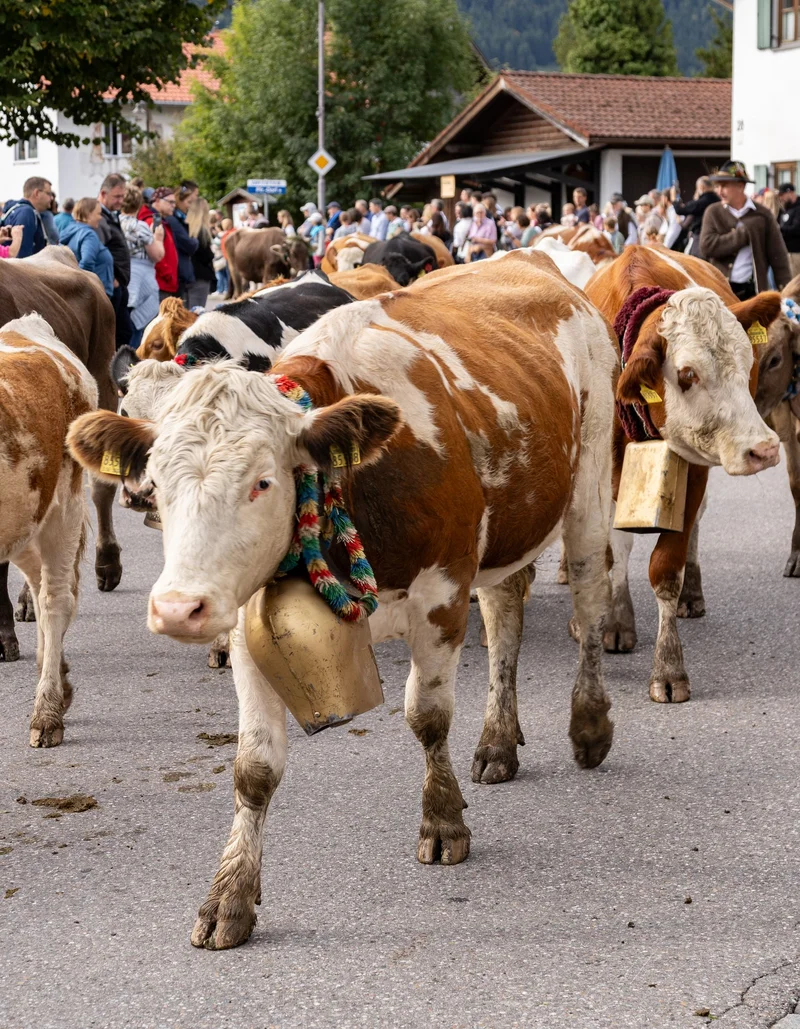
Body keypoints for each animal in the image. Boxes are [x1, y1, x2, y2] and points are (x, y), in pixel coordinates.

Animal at [68, 250, 619, 951]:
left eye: (263, 482)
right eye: (160, 479)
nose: (177, 609)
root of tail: (528, 259)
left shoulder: (442, 595)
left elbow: (427, 717)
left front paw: (443, 822)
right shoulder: (247, 621)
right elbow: (253, 767)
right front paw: (230, 896)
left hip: (590, 491)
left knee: (590, 603)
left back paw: (589, 725)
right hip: (509, 530)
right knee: (505, 615)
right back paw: (498, 740)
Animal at [584, 244, 781, 704]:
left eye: (749, 361)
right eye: (687, 374)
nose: (764, 449)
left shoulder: (692, 470)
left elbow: (665, 567)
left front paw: (669, 668)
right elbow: (611, 555)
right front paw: (608, 623)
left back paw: (692, 593)